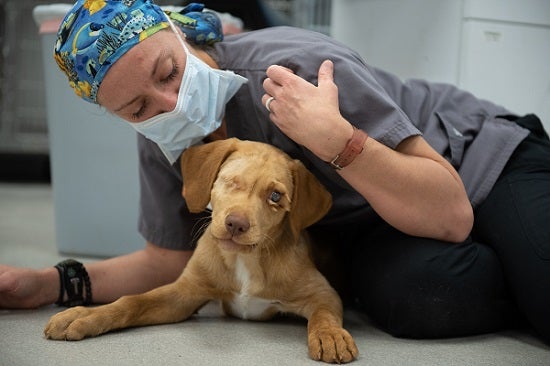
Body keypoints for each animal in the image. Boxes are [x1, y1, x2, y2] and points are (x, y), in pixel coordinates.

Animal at [44, 138, 362, 364]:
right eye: (230, 180)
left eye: (275, 196)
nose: (235, 224)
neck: (245, 260)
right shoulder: (184, 293)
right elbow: (132, 301)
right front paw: (85, 316)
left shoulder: (322, 293)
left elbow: (323, 315)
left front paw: (331, 336)